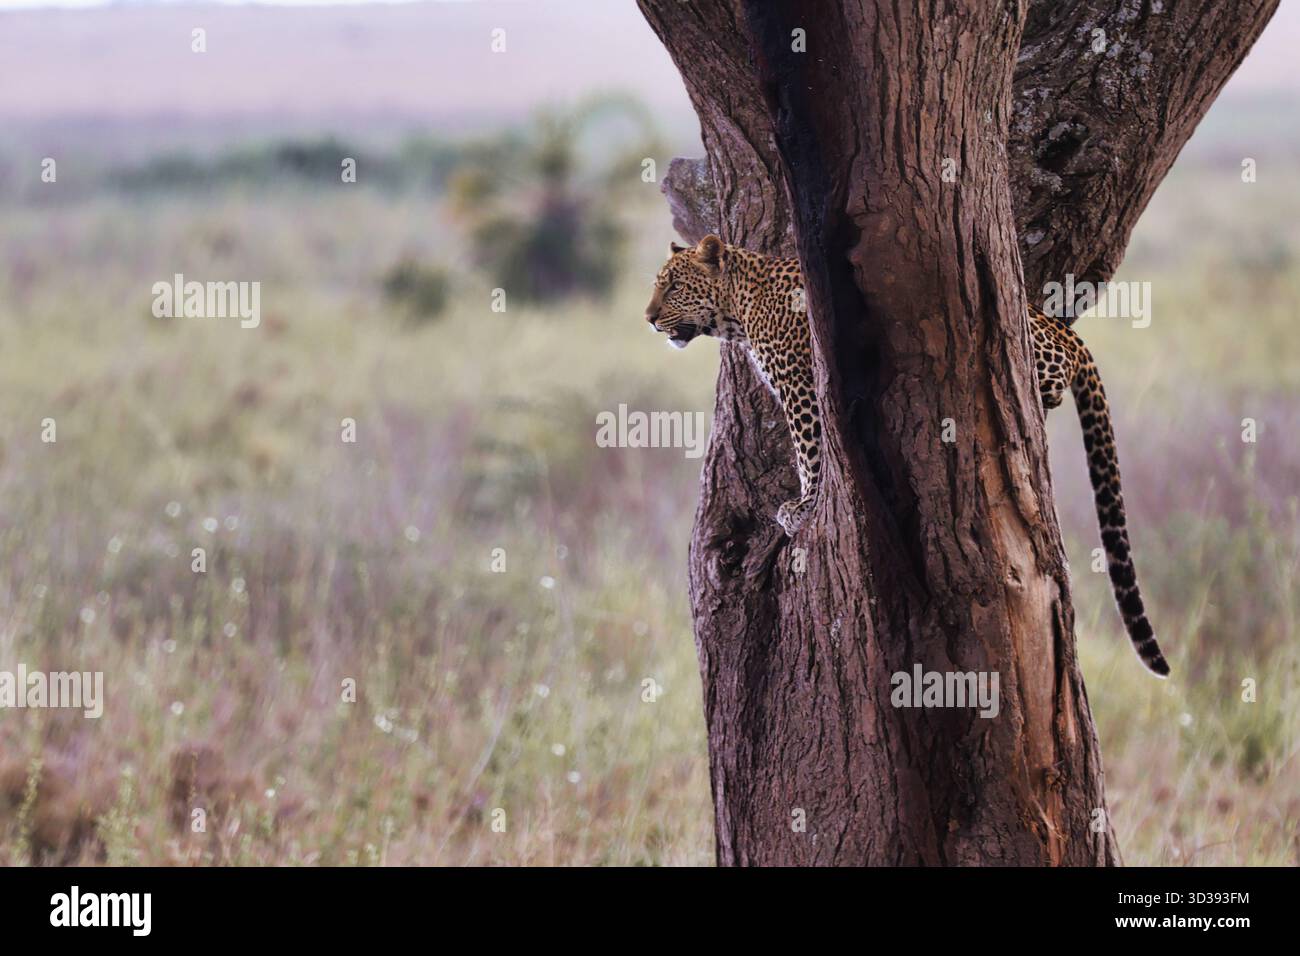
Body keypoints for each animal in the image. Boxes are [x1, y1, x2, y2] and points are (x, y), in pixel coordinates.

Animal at [644, 234, 1170, 677]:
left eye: (673, 287)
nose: (648, 318)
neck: (738, 310)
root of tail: (1063, 329)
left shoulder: (800, 384)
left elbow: (808, 447)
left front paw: (804, 506)